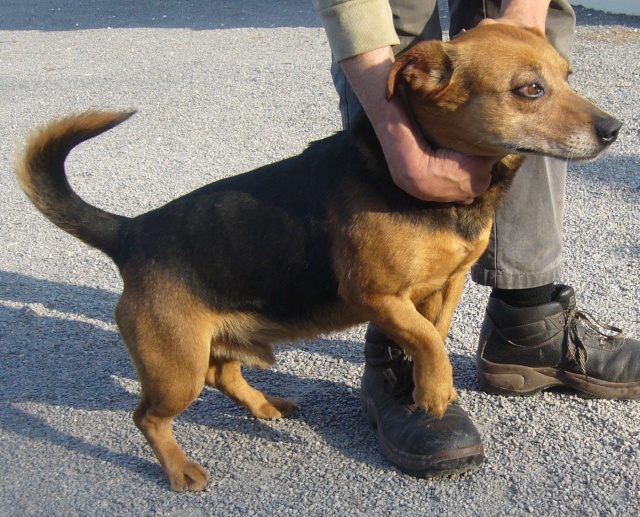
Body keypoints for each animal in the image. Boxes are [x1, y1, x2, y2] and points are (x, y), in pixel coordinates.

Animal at [17, 24, 620, 490]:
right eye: (530, 89)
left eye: (569, 76)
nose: (614, 129)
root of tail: (132, 232)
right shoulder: (374, 293)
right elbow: (425, 339)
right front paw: (433, 390)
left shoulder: (445, 284)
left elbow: (432, 333)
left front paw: (429, 383)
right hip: (174, 368)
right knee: (147, 416)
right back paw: (179, 468)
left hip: (208, 344)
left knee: (223, 375)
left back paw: (263, 407)